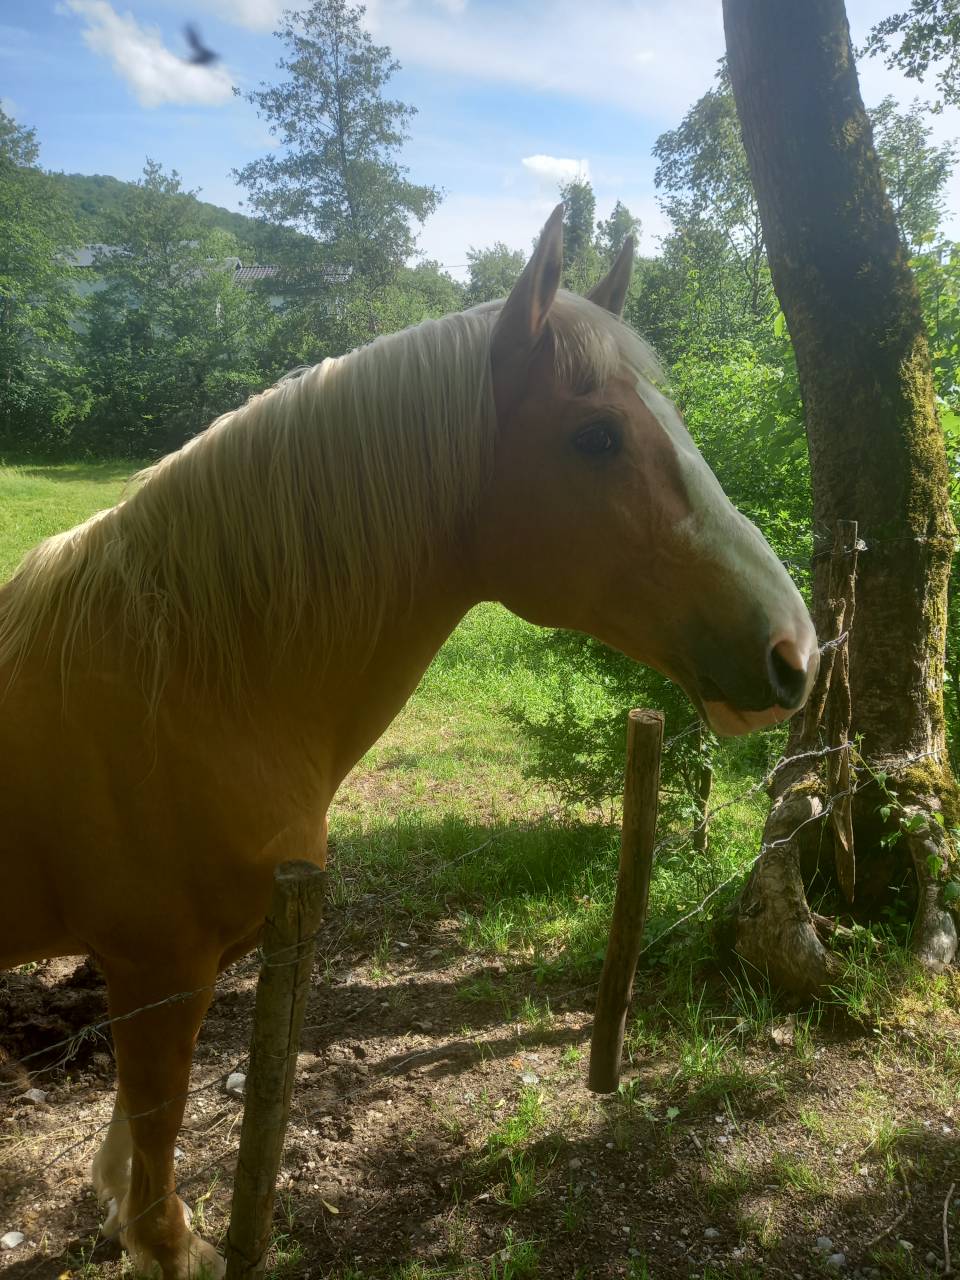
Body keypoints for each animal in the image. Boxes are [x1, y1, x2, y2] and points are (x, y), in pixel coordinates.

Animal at [0, 206, 817, 1278]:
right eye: (596, 436)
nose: (797, 651)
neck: (173, 678)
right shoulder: (157, 967)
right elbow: (159, 1121)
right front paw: (162, 1241)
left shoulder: (166, 971)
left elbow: (137, 1122)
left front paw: (116, 1207)